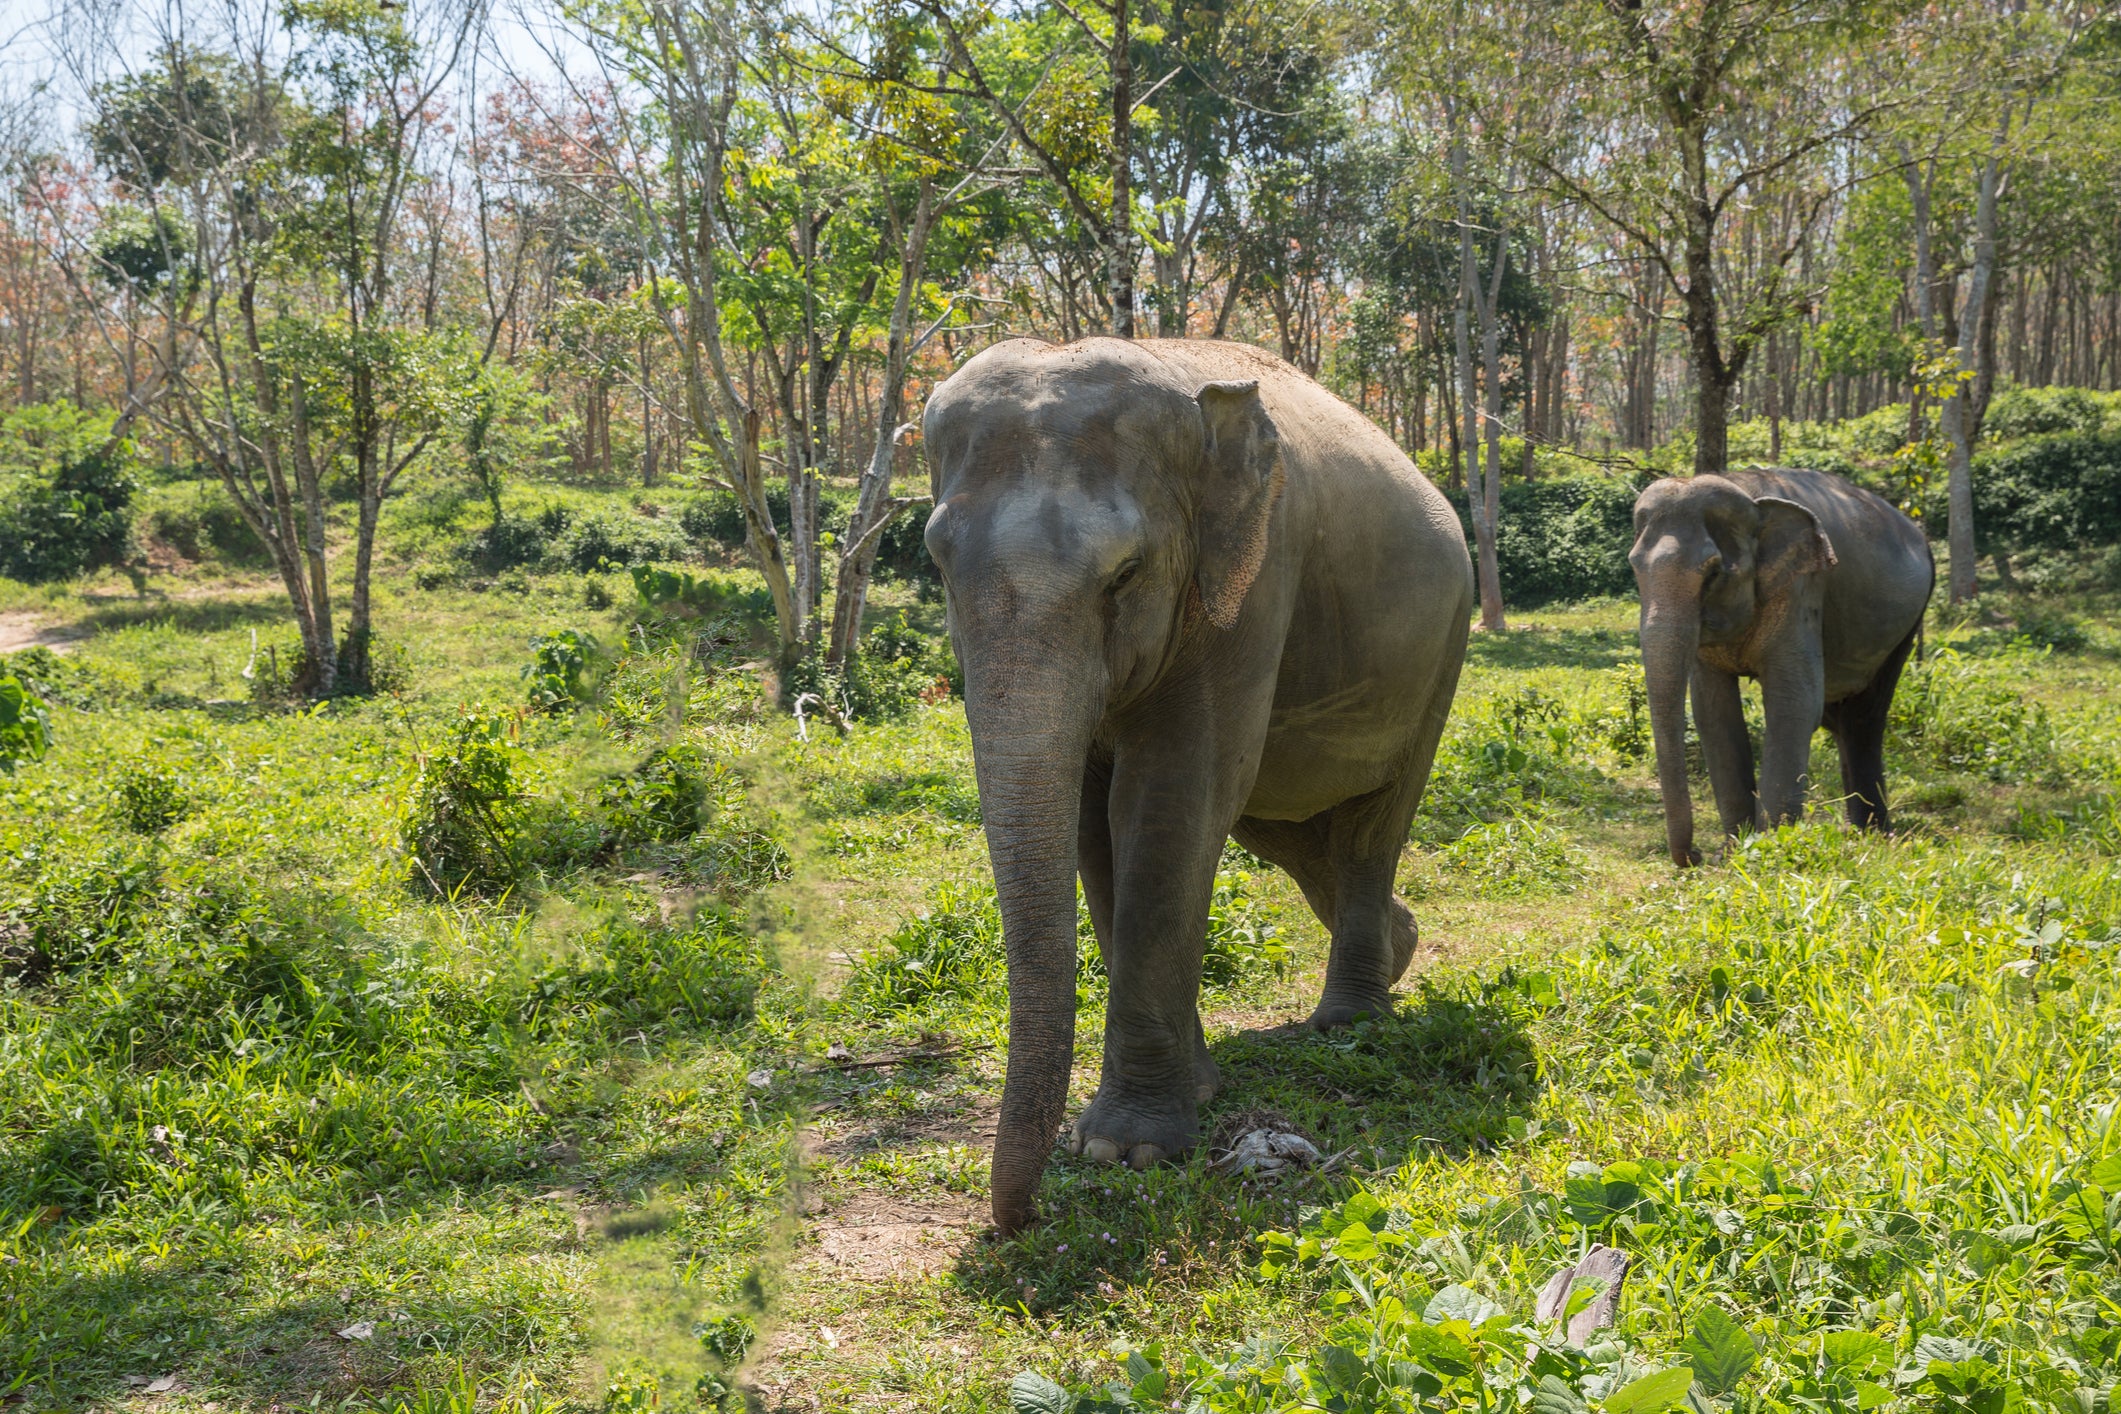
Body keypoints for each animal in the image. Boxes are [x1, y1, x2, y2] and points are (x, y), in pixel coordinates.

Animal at [928, 337, 1476, 1229]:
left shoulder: (1252, 585)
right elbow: (1093, 823)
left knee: (1370, 826)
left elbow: (1170, 799)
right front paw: (1192, 1095)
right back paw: (1400, 948)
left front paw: (1128, 1149)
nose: (1017, 1220)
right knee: (1290, 828)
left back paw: (1350, 1024)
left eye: (1124, 574)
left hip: (1444, 651)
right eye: (937, 563)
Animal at [1620, 464, 1942, 869]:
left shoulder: (1801, 587)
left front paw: (1766, 849)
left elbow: (1793, 702)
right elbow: (1714, 712)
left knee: (1865, 718)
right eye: (1634, 567)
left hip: (1907, 625)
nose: (1695, 854)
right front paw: (1733, 851)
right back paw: (1859, 833)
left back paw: (1874, 836)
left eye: (1713, 573)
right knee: (1839, 717)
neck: (1747, 494)